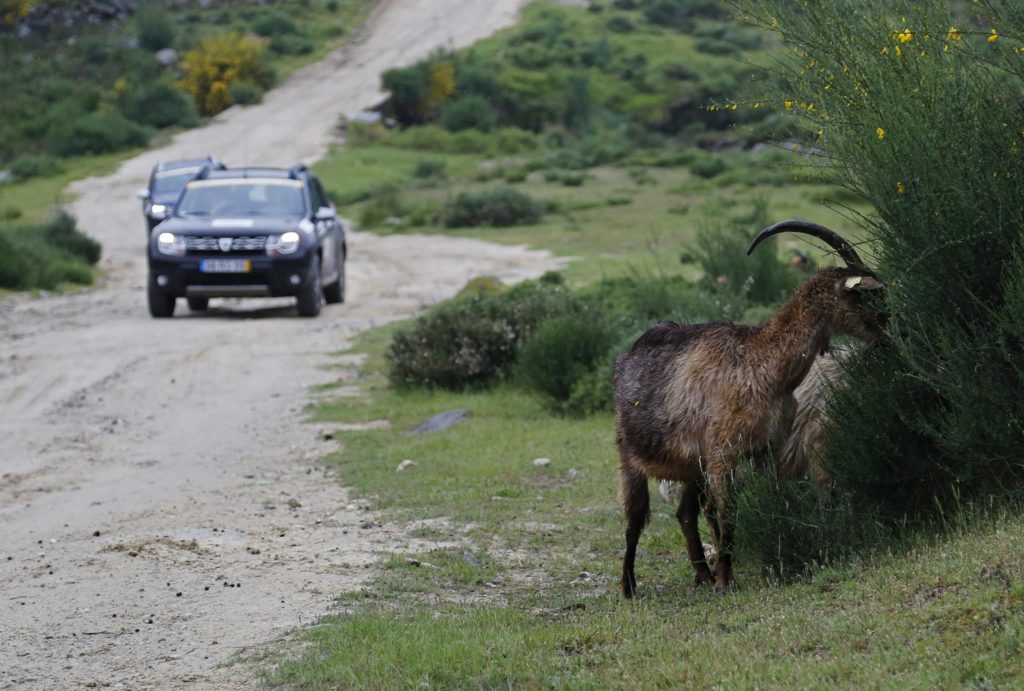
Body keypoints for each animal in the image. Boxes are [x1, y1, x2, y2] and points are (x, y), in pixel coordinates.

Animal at [610, 220, 884, 593]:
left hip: (692, 465)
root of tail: (626, 358)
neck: (762, 365)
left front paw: (780, 552)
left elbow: (774, 499)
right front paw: (725, 582)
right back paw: (629, 587)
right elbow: (728, 514)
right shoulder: (723, 454)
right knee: (634, 519)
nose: (891, 329)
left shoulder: (766, 449)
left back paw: (702, 574)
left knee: (685, 512)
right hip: (630, 453)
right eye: (868, 294)